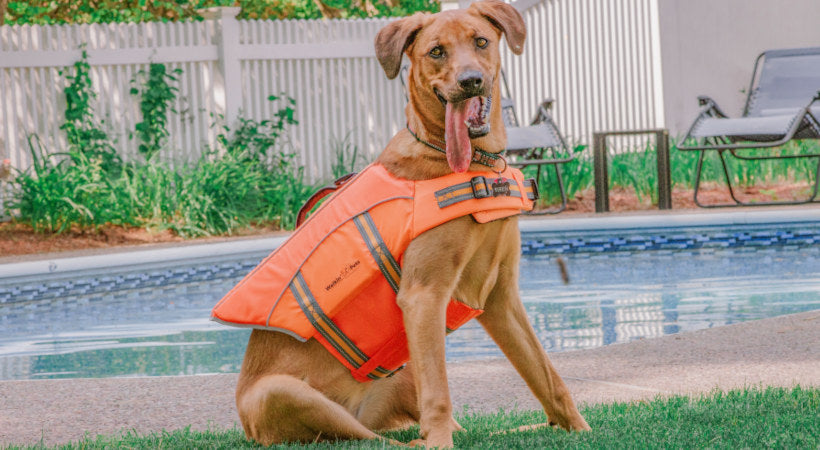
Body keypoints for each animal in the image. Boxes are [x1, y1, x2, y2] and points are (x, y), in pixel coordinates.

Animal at [234, 1, 588, 446]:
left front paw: (579, 428)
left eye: (481, 41)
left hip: (403, 372)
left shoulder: (499, 297)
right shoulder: (424, 296)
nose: (470, 81)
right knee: (373, 438)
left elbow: (546, 375)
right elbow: (440, 393)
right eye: (436, 51)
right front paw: (440, 444)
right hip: (280, 393)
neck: (473, 166)